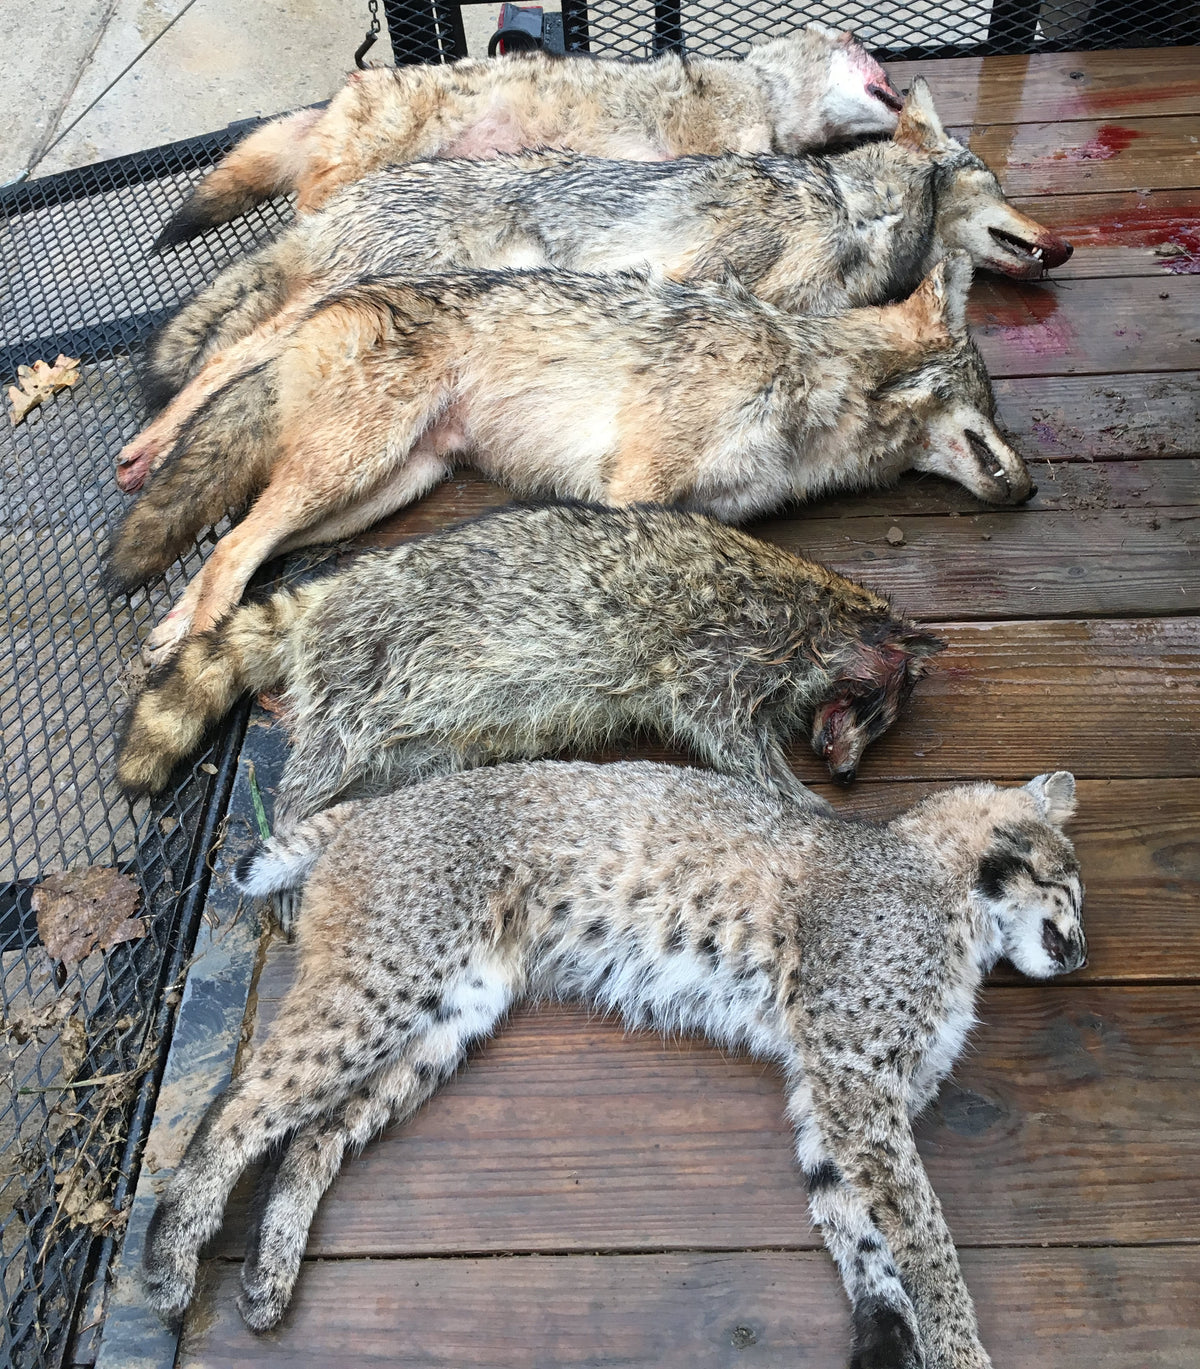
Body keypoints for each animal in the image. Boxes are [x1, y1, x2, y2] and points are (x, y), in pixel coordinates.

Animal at [108, 252, 1032, 665]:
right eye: (993, 408)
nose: (1029, 489)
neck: (812, 377)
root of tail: (348, 293)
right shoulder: (634, 488)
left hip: (374, 492)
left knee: (245, 541)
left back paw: (169, 633)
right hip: (351, 464)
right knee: (232, 529)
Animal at [115, 502, 945, 855]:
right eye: (881, 711)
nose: (847, 772)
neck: (826, 611)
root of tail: (326, 597)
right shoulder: (733, 644)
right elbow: (725, 732)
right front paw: (798, 795)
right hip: (361, 662)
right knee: (328, 750)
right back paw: (293, 816)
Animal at [141, 78, 1072, 411]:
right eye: (997, 180)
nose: (1061, 245)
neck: (853, 206)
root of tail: (343, 199)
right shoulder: (707, 275)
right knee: (227, 357)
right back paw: (146, 450)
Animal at [143, 759, 1086, 1360]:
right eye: (1071, 888)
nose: (1079, 955)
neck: (950, 890)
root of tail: (376, 804)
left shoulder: (831, 1096)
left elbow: (857, 1227)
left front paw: (889, 1339)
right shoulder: (855, 1075)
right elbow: (924, 1235)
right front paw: (960, 1348)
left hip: (446, 1014)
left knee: (311, 1133)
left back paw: (266, 1276)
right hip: (387, 977)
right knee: (241, 1102)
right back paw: (168, 1260)